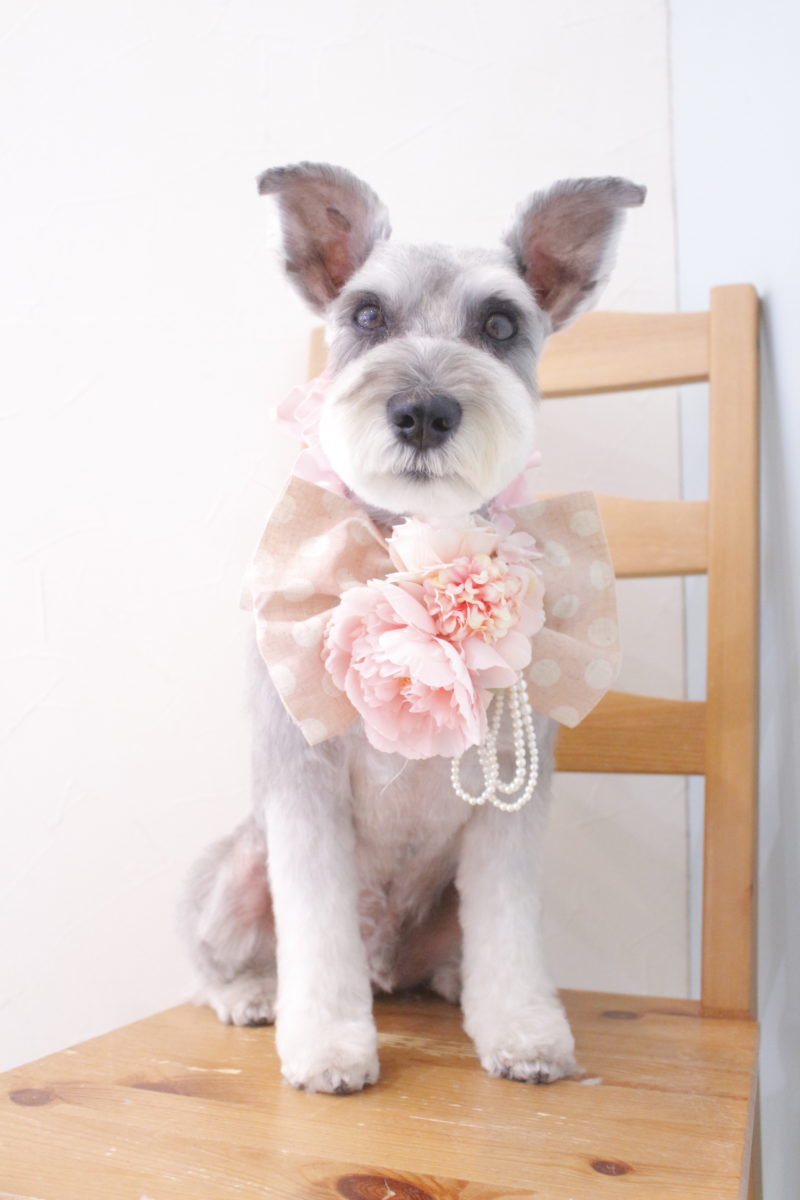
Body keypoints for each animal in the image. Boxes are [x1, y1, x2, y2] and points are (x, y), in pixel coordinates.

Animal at [181, 162, 644, 1094]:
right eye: (367, 316)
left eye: (500, 324)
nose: (423, 410)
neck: (412, 548)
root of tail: (387, 962)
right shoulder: (303, 787)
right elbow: (314, 932)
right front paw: (326, 1047)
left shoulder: (510, 811)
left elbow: (511, 929)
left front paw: (525, 1032)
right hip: (239, 866)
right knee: (217, 954)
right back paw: (251, 993)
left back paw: (455, 981)